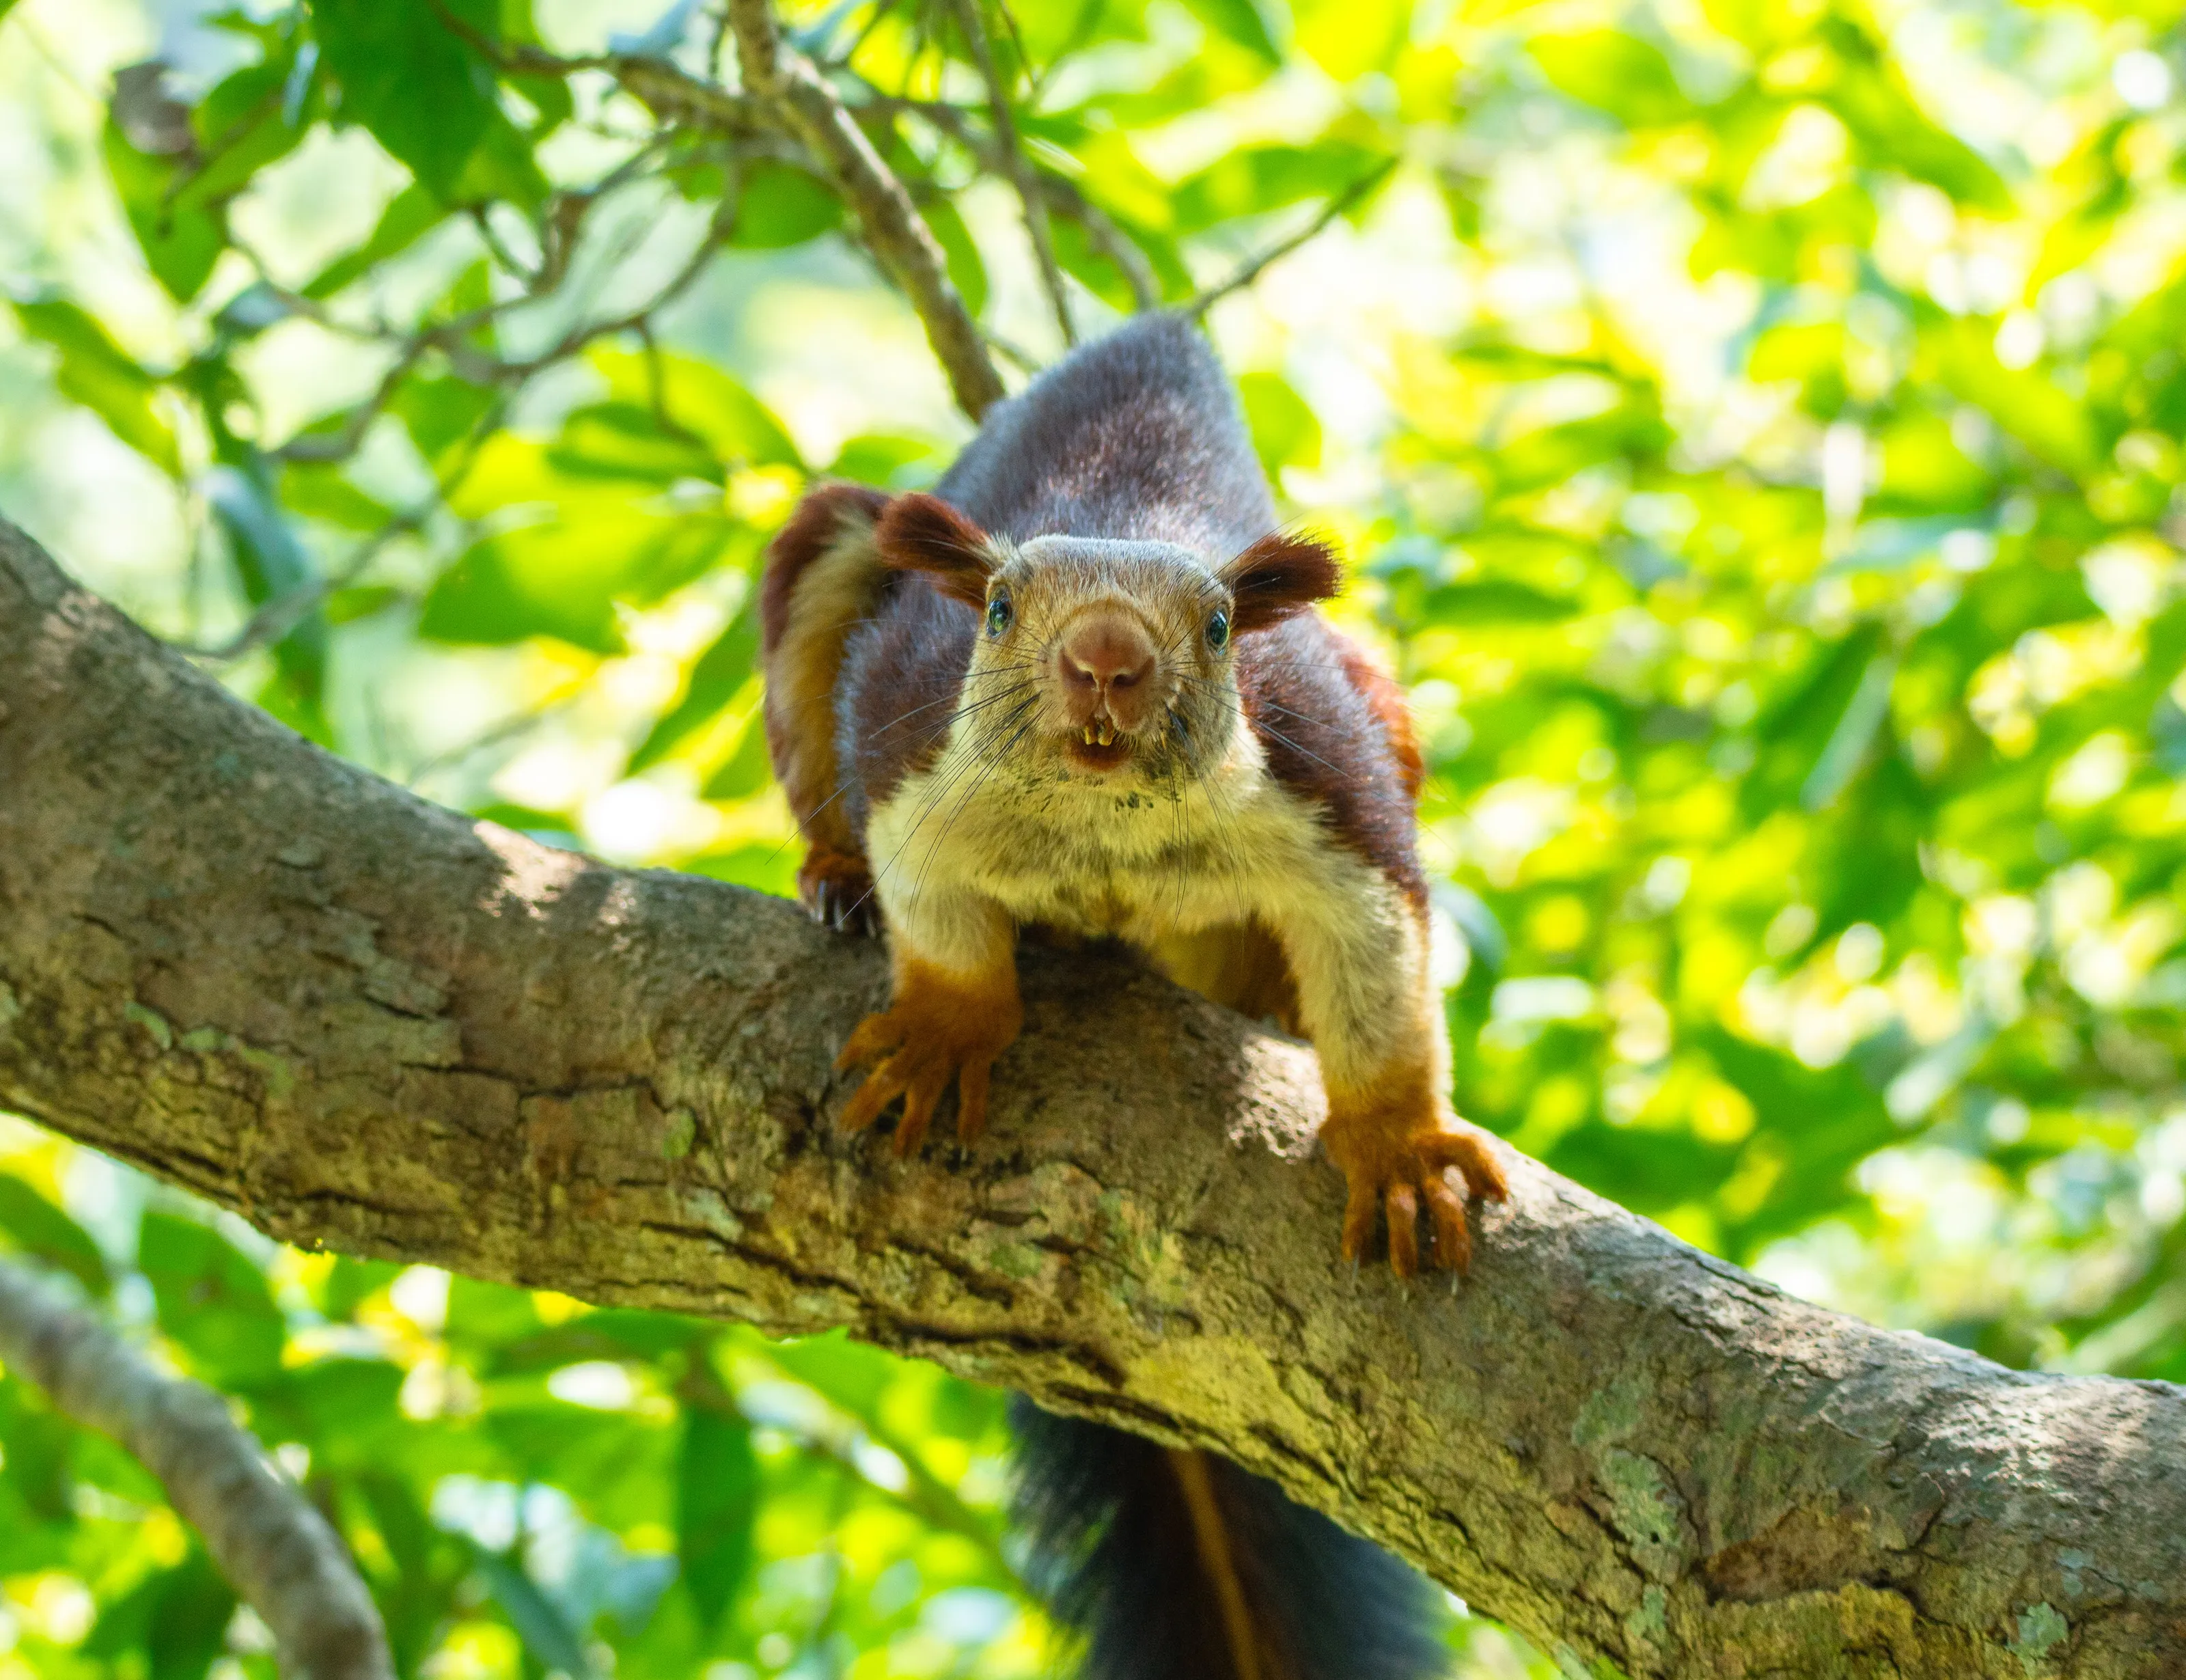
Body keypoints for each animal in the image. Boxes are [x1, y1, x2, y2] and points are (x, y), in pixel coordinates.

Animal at [759, 312, 1506, 1680]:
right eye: (1003, 607)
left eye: (1215, 626)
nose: (1106, 658)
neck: (1105, 833)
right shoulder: (909, 725)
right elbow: (930, 906)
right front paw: (945, 1027)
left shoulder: (1321, 764)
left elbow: (1380, 945)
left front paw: (1398, 1143)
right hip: (844, 557)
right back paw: (835, 882)